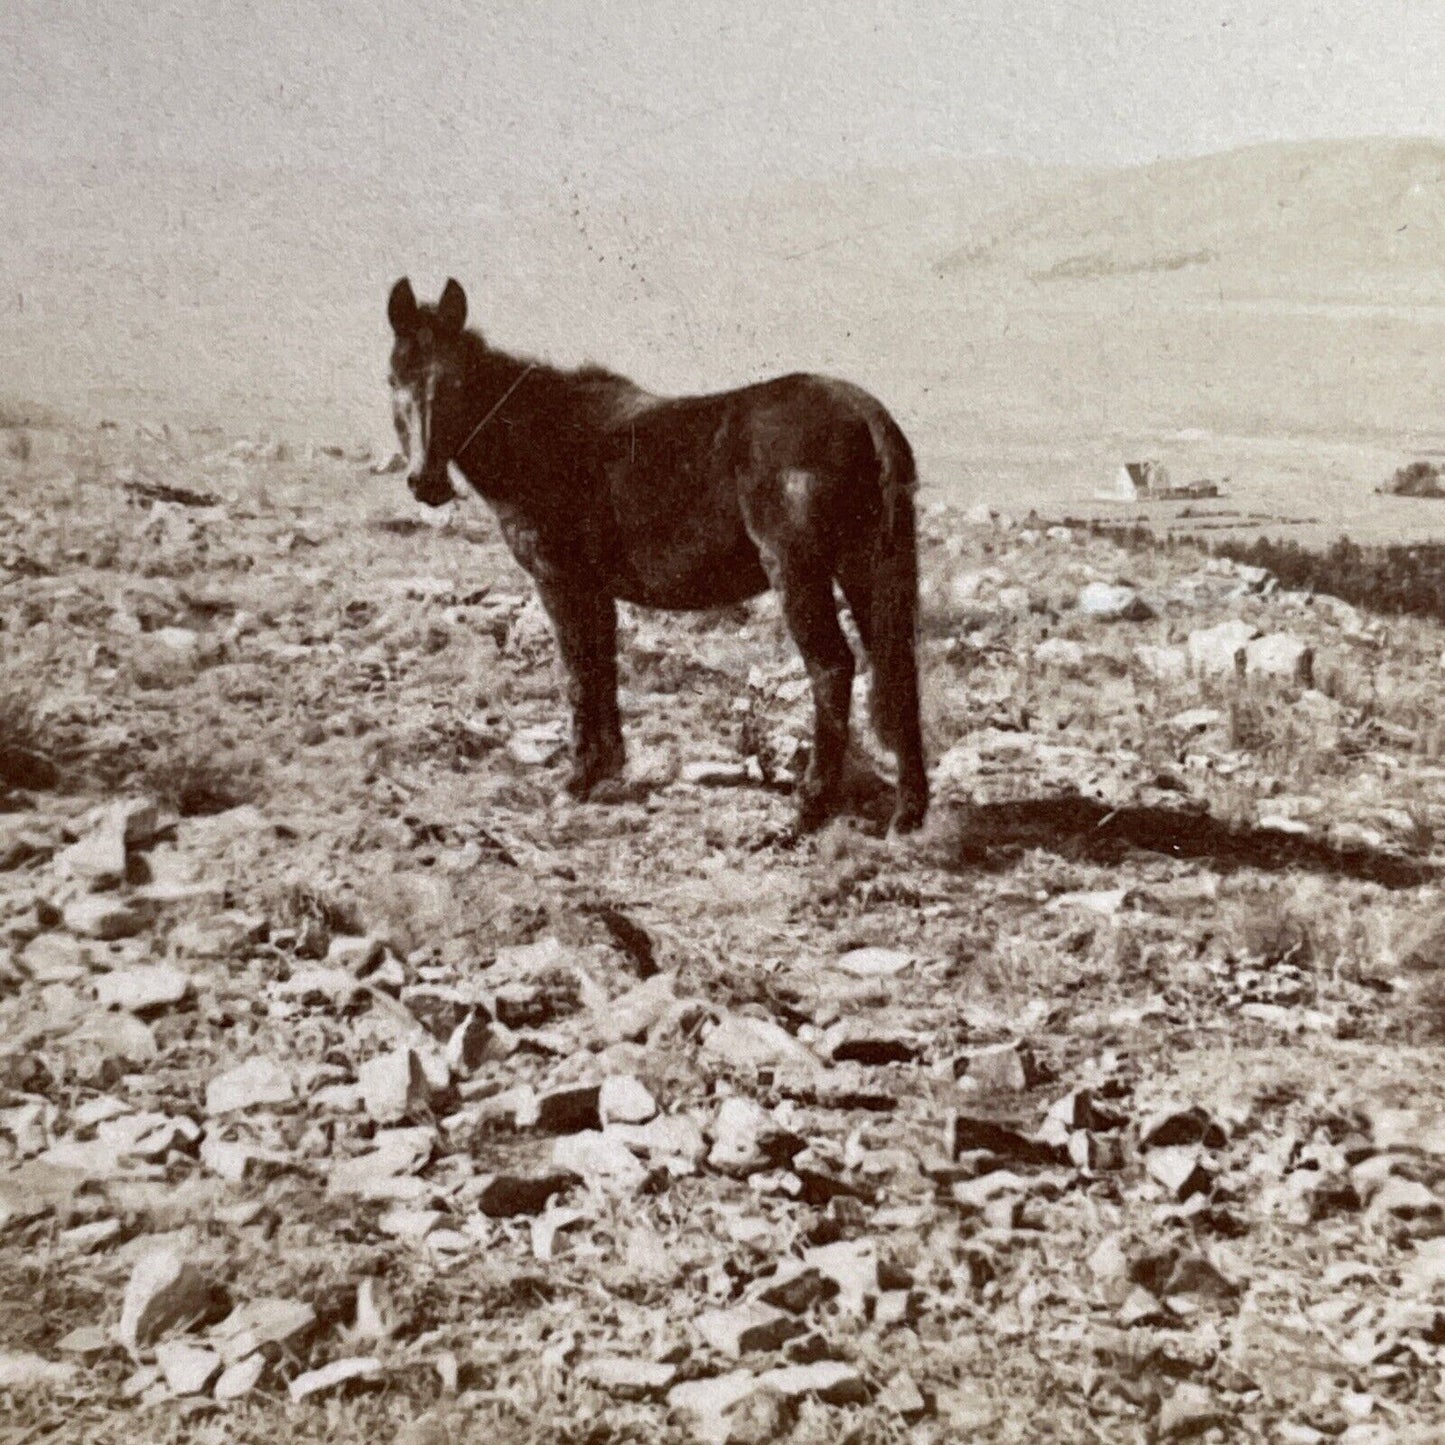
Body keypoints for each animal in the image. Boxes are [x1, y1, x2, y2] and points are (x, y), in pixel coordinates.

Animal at [384, 277, 924, 838]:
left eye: (456, 383)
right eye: (393, 379)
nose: (426, 483)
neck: (549, 437)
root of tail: (863, 412)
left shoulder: (560, 583)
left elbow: (578, 673)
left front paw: (577, 779)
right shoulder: (594, 592)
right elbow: (600, 669)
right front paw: (605, 769)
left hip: (799, 574)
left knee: (832, 669)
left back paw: (809, 808)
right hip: (865, 568)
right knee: (896, 667)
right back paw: (907, 814)